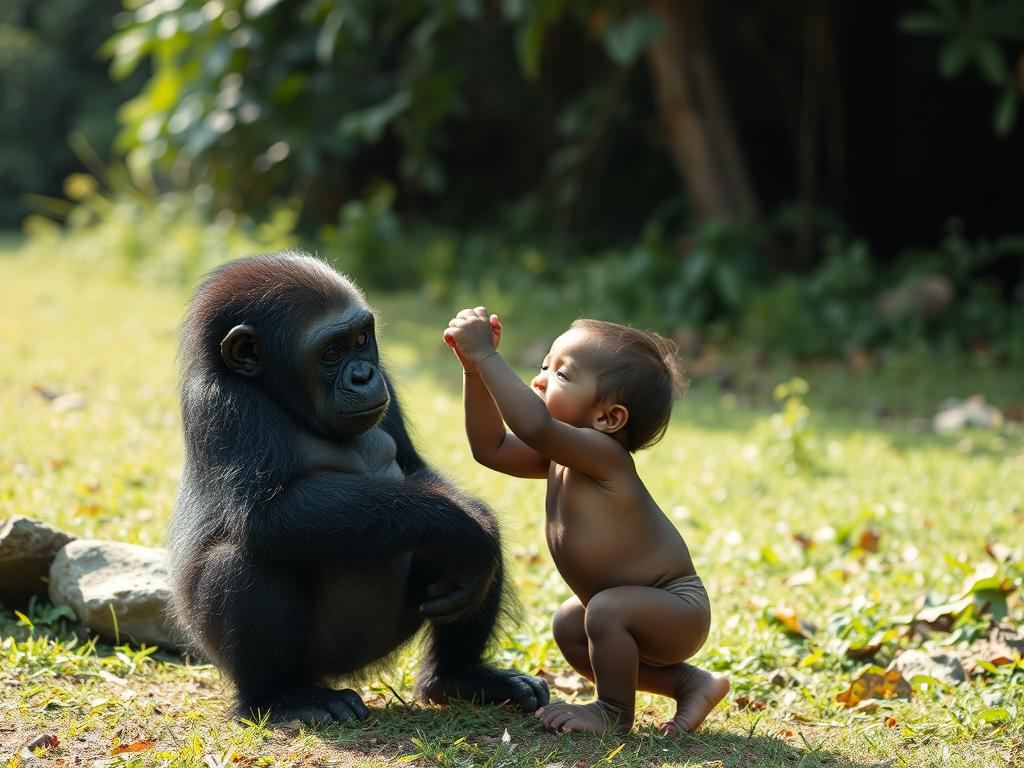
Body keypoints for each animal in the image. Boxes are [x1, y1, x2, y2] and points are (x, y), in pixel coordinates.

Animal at [172, 252, 548, 729]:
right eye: (331, 353)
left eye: (361, 340)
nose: (364, 375)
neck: (274, 393)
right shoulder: (224, 402)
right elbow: (265, 515)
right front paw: (457, 526)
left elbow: (416, 470)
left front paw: (474, 521)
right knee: (242, 561)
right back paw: (280, 697)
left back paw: (460, 677)